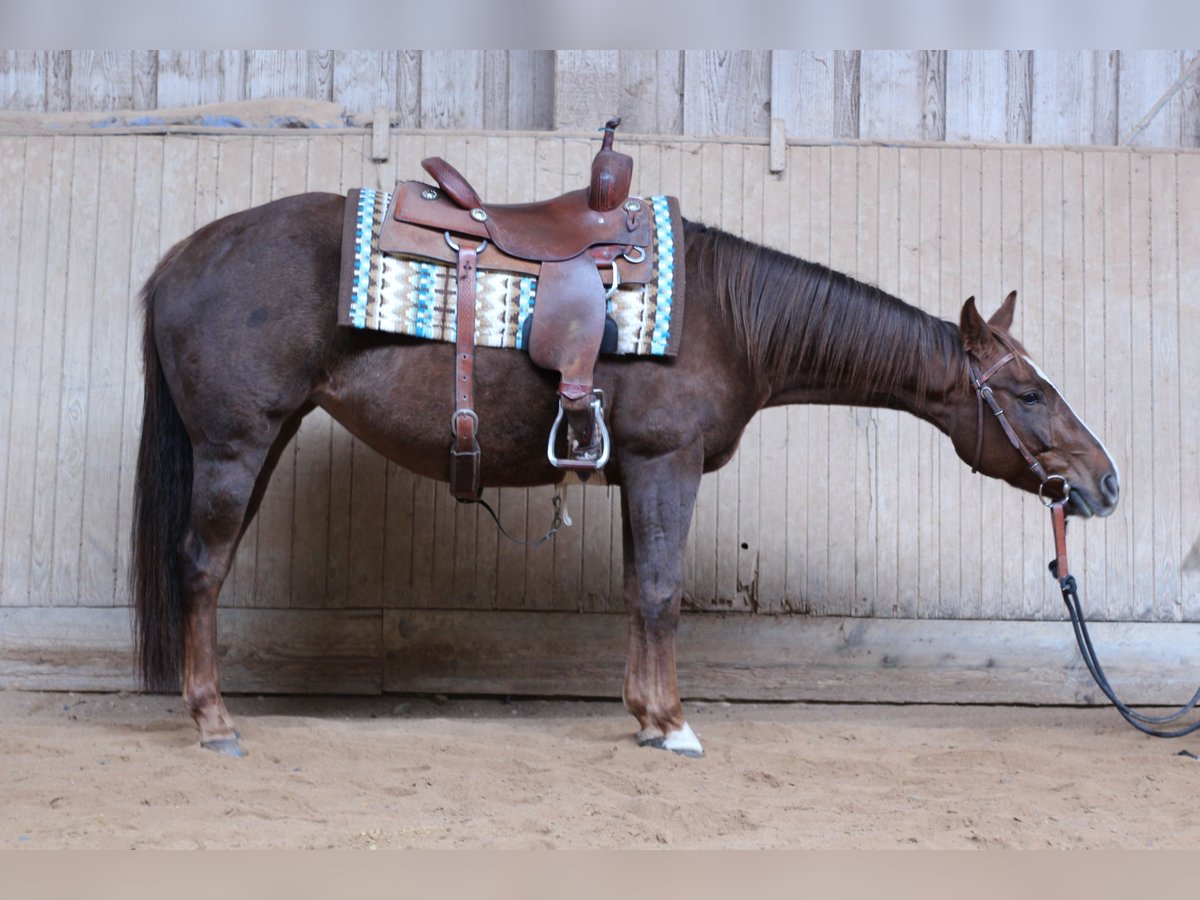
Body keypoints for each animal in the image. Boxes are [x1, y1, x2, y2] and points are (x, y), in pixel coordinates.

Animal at [132, 192, 1120, 757]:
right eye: (1028, 392)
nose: (1106, 482)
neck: (731, 316)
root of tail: (182, 257)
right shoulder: (664, 467)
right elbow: (660, 592)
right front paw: (673, 724)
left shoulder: (630, 477)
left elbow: (637, 591)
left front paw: (644, 715)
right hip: (235, 446)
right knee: (202, 568)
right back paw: (214, 722)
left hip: (263, 442)